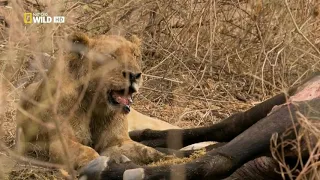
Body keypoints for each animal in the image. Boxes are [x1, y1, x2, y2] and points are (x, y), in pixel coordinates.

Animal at [15, 32, 170, 172]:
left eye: (135, 55)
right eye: (111, 56)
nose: (134, 75)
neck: (95, 105)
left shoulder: (116, 142)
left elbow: (144, 149)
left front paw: (166, 157)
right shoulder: (59, 143)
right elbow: (87, 152)